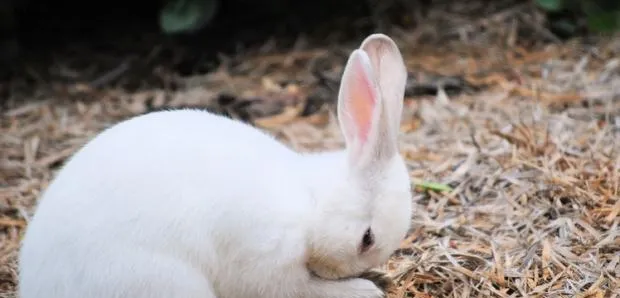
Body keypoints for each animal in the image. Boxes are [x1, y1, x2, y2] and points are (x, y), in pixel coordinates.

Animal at [18, 32, 412, 298]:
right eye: (366, 239)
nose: (336, 272)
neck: (309, 204)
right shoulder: (269, 263)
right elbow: (302, 289)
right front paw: (363, 289)